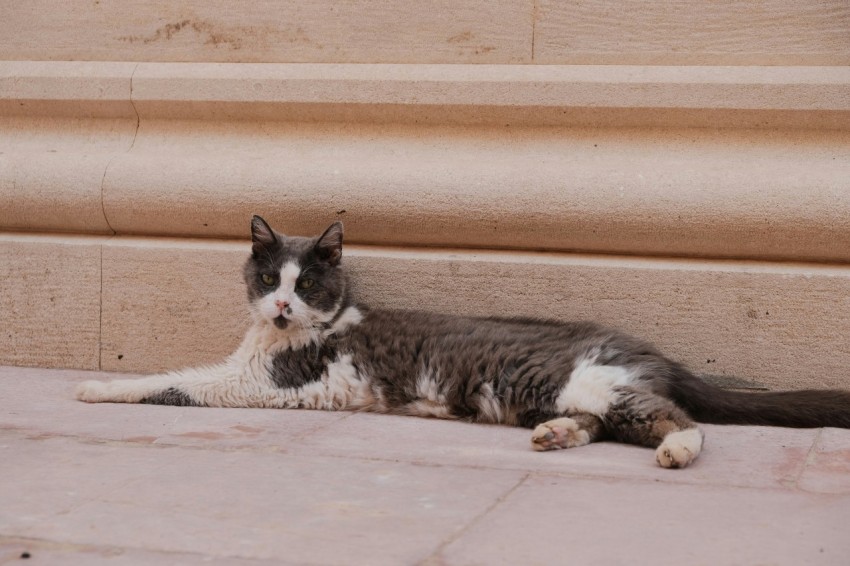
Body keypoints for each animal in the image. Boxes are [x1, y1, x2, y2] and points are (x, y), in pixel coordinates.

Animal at [76, 217, 848, 470]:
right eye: (269, 277)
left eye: (307, 282)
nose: (285, 304)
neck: (277, 337)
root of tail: (650, 350)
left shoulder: (262, 384)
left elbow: (173, 379)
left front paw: (95, 385)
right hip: (564, 393)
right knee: (603, 424)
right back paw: (557, 437)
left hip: (586, 378)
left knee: (675, 419)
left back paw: (677, 450)